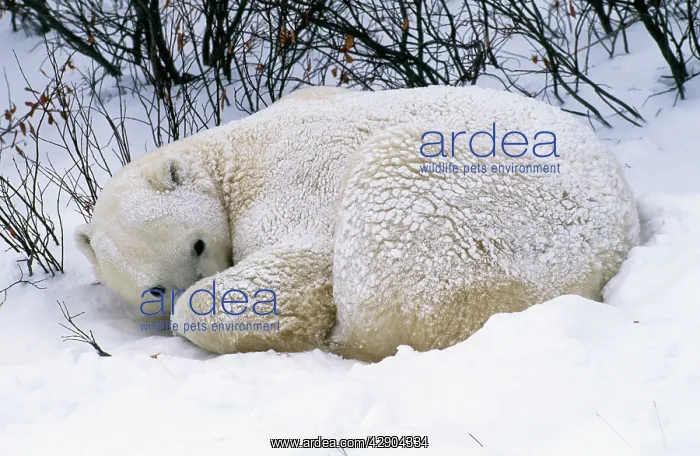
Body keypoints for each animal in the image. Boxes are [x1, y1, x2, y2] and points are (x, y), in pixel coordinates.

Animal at [75, 85, 640, 362]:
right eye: (152, 289)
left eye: (196, 245)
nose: (212, 270)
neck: (233, 153)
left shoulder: (292, 177)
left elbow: (298, 264)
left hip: (477, 214)